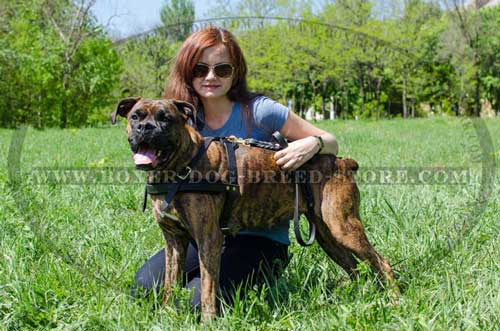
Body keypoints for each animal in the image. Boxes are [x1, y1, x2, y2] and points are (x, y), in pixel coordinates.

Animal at [111, 96, 400, 322]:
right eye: (135, 116)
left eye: (166, 118)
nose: (145, 127)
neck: (180, 166)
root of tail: (341, 161)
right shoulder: (174, 242)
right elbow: (170, 284)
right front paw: (167, 315)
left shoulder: (208, 239)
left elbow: (207, 289)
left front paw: (208, 321)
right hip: (327, 235)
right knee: (353, 266)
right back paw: (358, 295)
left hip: (343, 226)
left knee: (381, 262)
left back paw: (395, 301)